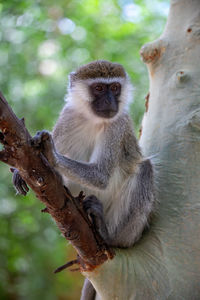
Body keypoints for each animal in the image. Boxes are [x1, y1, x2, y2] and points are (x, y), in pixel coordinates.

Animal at [13, 60, 155, 300]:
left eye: (114, 88)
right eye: (98, 88)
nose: (109, 101)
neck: (92, 119)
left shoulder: (117, 126)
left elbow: (101, 175)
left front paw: (51, 154)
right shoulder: (67, 117)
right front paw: (21, 169)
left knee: (145, 169)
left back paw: (109, 236)